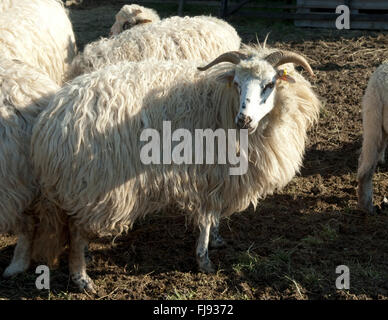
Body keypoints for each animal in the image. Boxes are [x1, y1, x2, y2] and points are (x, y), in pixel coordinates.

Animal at [31, 45, 320, 292]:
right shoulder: (207, 172)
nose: (244, 119)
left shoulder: (218, 174)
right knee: (76, 231)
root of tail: (52, 120)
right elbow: (206, 218)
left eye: (269, 85)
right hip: (93, 183)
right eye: (237, 84)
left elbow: (214, 214)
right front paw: (204, 260)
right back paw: (81, 278)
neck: (221, 104)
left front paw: (216, 240)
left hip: (83, 186)